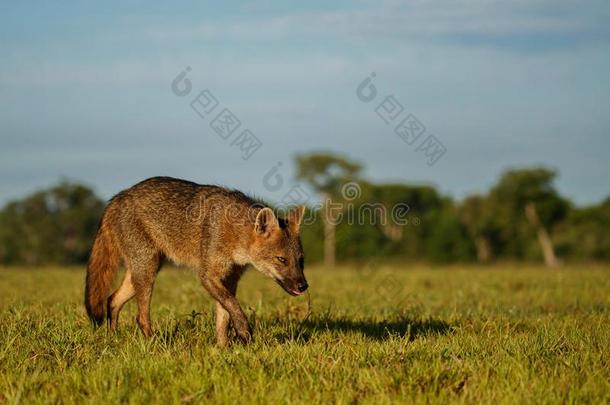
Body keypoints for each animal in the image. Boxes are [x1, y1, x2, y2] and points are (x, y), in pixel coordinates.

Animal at [83, 175, 306, 346]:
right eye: (282, 259)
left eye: (300, 260)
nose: (303, 286)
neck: (234, 233)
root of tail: (118, 196)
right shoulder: (208, 275)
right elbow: (233, 306)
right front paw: (244, 332)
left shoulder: (229, 279)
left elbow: (223, 318)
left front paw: (222, 349)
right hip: (147, 271)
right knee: (140, 317)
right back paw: (156, 344)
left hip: (142, 272)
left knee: (112, 300)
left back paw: (113, 339)